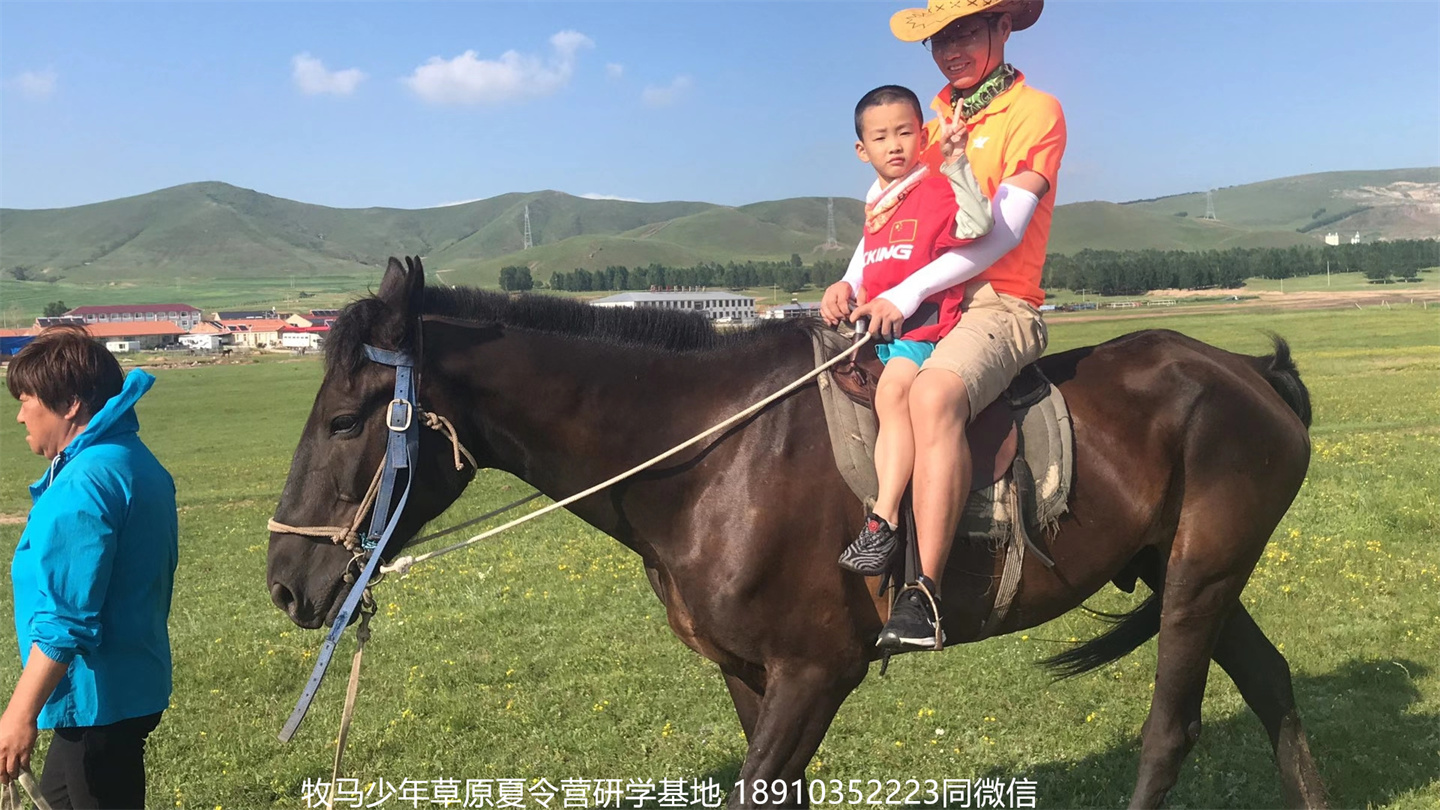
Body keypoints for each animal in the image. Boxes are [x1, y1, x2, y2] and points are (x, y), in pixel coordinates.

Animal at [270, 256, 1324, 801]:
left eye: (347, 421)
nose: (287, 580)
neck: (711, 454)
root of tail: (1245, 371)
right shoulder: (749, 674)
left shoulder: (817, 674)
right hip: (1190, 574)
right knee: (1272, 685)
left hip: (1198, 579)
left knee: (1171, 729)